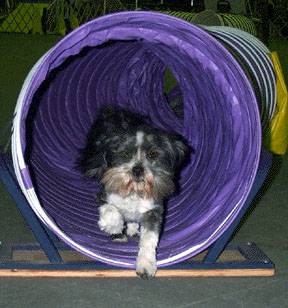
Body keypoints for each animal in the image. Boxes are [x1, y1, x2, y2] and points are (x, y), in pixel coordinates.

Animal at [78, 107, 191, 278]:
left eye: (152, 154)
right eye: (125, 154)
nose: (137, 170)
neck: (134, 191)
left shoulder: (153, 211)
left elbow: (149, 238)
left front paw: (146, 264)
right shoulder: (103, 196)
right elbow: (111, 211)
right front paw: (114, 228)